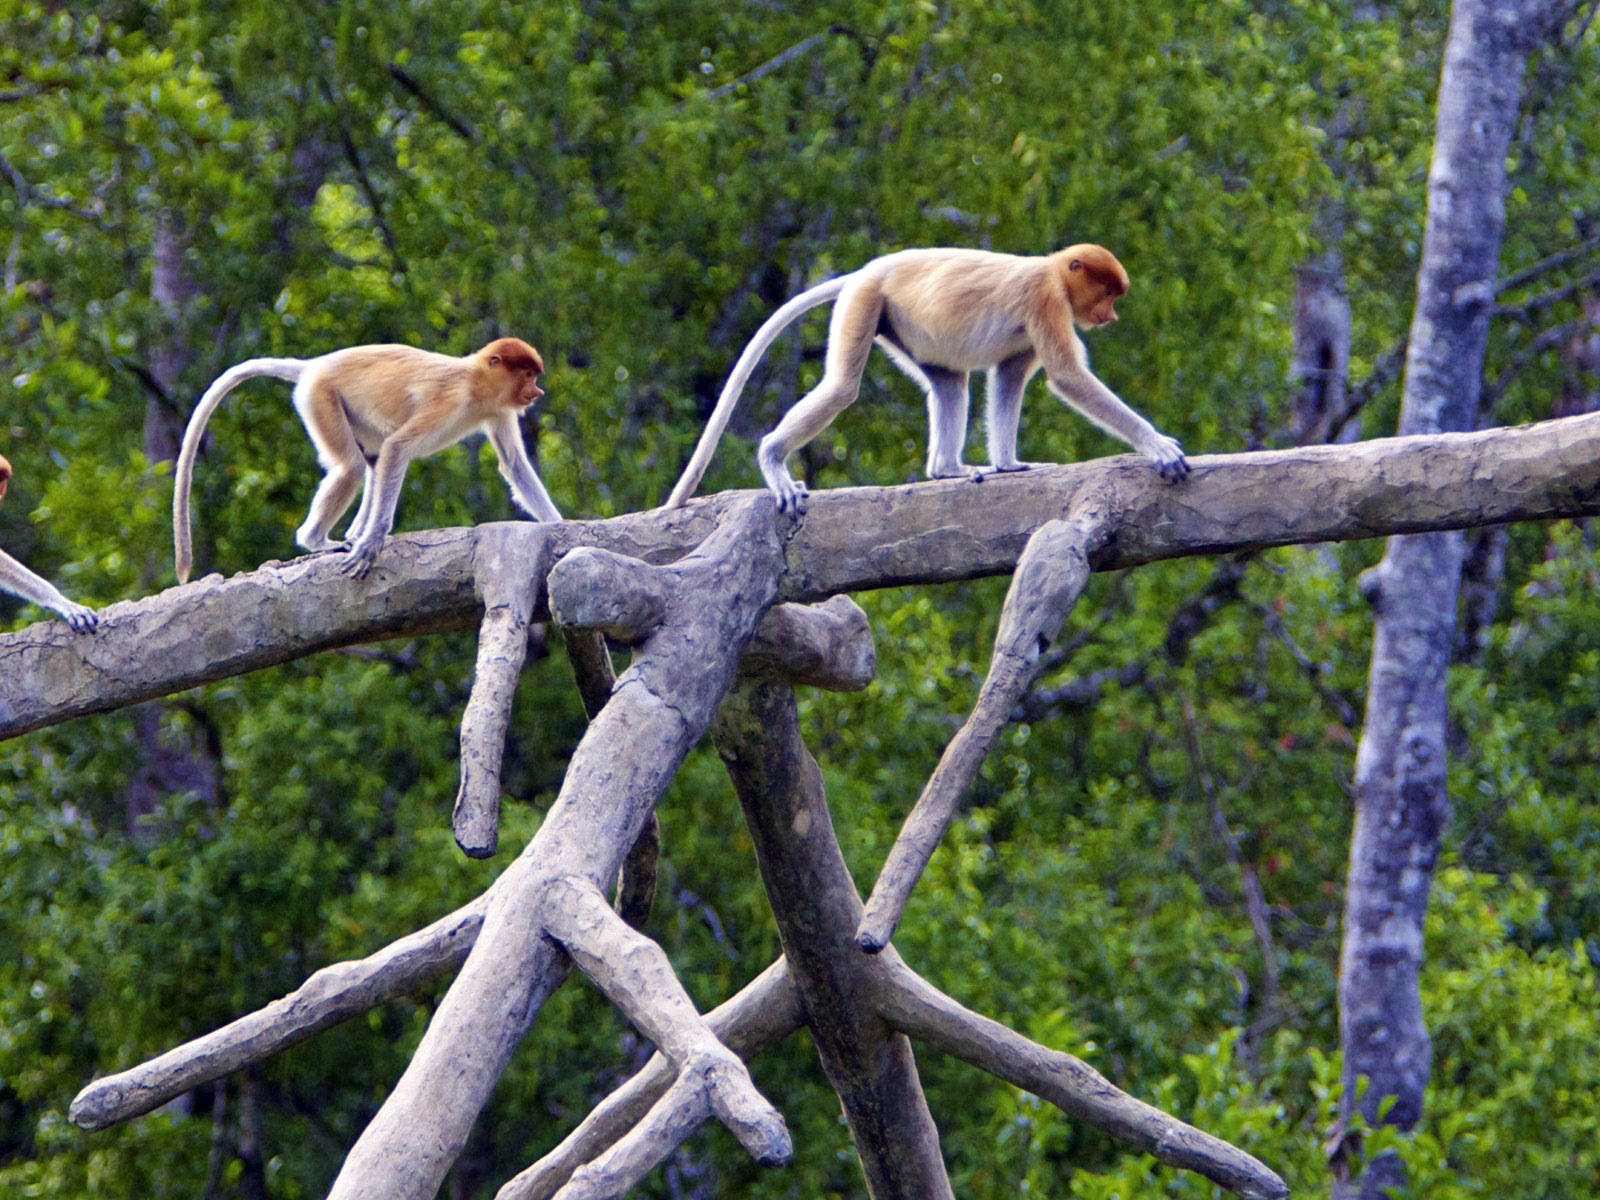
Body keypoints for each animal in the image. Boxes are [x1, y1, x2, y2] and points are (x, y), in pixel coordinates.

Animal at [173, 336, 563, 585]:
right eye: (528, 374)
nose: (538, 391)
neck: (477, 381)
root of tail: (315, 365)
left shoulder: (498, 409)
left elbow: (513, 465)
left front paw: (560, 525)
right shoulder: (452, 398)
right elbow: (399, 447)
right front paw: (374, 542)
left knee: (373, 461)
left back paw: (351, 532)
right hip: (320, 396)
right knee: (353, 467)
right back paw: (320, 540)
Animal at [662, 244, 1190, 518]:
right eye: (1106, 292)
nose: (1111, 315)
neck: (1054, 269)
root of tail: (867, 269)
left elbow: (1008, 378)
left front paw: (1010, 464)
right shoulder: (1046, 299)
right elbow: (1066, 376)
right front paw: (1159, 446)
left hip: (904, 327)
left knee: (950, 383)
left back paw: (947, 469)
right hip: (865, 301)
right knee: (842, 387)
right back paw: (774, 458)